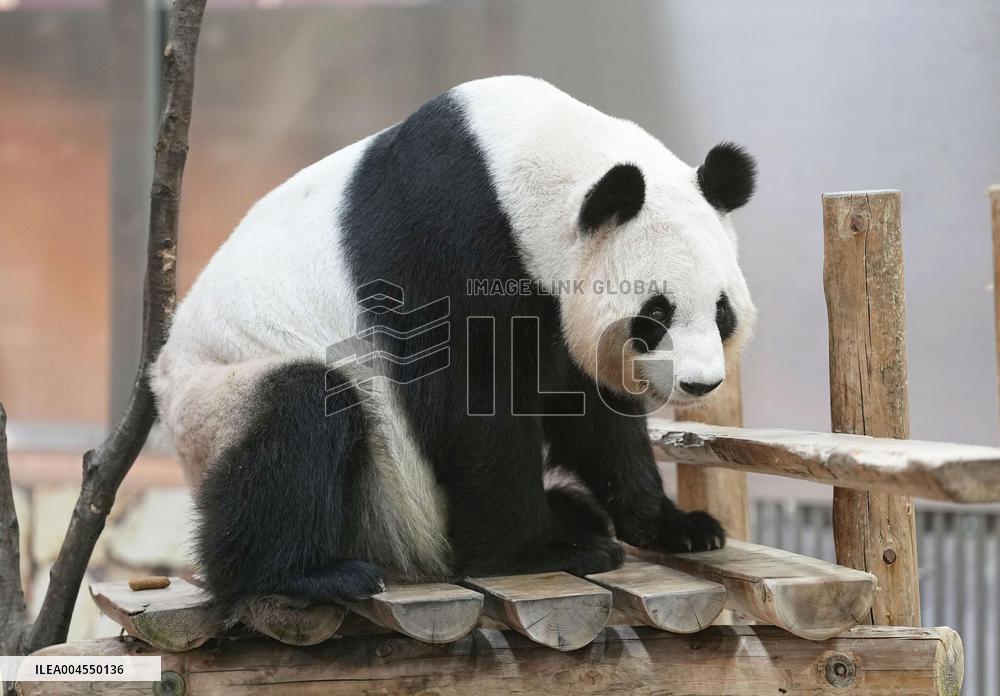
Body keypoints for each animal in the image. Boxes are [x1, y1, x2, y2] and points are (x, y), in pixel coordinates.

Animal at [151, 75, 757, 627]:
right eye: (655, 315)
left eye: (721, 311)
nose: (700, 383)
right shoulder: (450, 241)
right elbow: (472, 402)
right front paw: (538, 553)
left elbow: (591, 413)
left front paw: (677, 527)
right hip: (223, 396)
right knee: (298, 420)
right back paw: (306, 573)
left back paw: (575, 512)